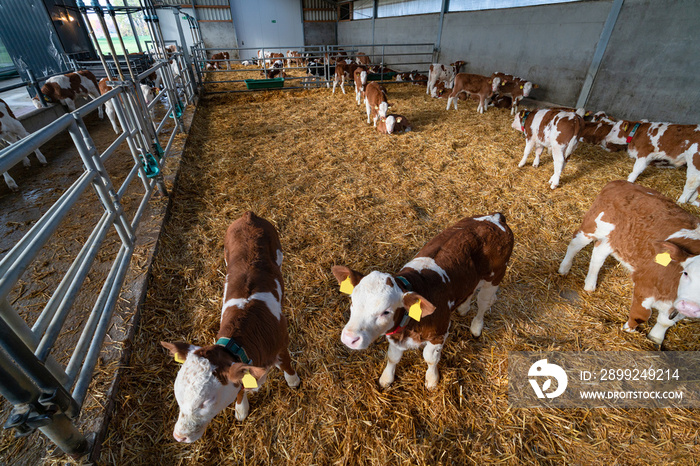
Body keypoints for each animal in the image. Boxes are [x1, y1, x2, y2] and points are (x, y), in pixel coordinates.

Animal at [160, 213, 300, 442]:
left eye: (206, 401)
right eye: (177, 393)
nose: (179, 436)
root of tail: (248, 215)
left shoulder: (282, 343)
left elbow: (287, 366)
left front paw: (294, 381)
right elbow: (240, 388)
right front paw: (241, 409)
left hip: (278, 251)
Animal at [330, 215, 512, 390]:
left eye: (386, 311)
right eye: (352, 302)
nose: (349, 338)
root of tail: (495, 218)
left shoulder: (439, 333)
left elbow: (430, 358)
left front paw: (432, 380)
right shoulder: (396, 337)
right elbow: (393, 357)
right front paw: (386, 378)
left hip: (495, 277)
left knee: (483, 303)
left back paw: (476, 327)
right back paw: (463, 307)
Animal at [556, 181, 700, 346]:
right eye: (686, 273)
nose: (690, 307)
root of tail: (620, 182)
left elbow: (665, 322)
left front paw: (655, 338)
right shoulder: (644, 285)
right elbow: (641, 314)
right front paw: (628, 330)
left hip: (614, 239)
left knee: (598, 255)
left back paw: (590, 285)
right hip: (593, 225)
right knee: (575, 244)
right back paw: (564, 268)